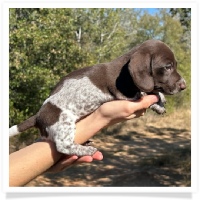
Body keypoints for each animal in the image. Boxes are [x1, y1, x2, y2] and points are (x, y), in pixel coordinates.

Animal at [8, 39, 186, 156]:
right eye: (167, 67)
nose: (184, 85)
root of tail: (38, 115)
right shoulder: (126, 95)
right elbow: (147, 93)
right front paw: (157, 101)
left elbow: (153, 91)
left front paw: (160, 101)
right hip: (63, 122)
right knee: (63, 146)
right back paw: (85, 150)